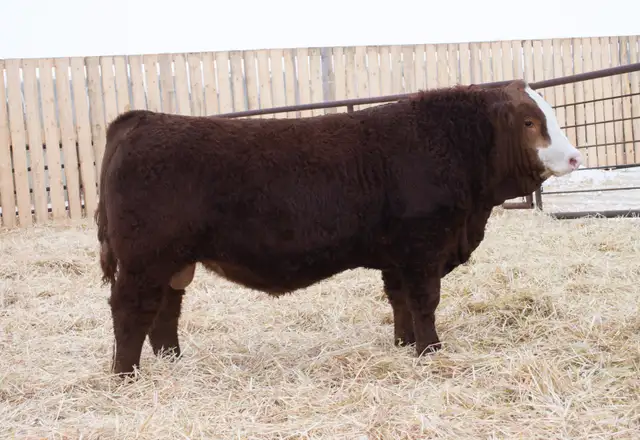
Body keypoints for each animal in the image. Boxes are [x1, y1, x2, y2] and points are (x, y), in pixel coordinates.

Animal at [95, 79, 582, 377]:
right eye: (530, 122)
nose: (576, 157)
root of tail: (142, 119)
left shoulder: (396, 258)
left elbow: (400, 302)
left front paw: (403, 344)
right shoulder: (423, 248)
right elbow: (425, 302)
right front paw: (430, 351)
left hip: (173, 263)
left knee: (165, 313)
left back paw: (173, 363)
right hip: (144, 261)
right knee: (130, 311)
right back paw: (126, 375)